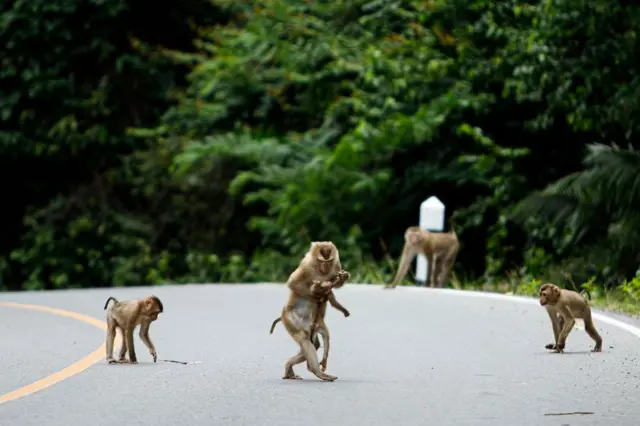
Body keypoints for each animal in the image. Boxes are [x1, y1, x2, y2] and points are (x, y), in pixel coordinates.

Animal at [278, 241, 348, 382]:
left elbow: (337, 281)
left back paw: (290, 366)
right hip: (289, 317)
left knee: (314, 344)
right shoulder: (306, 266)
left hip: (311, 325)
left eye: (329, 261)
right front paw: (319, 294)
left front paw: (343, 276)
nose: (325, 267)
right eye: (322, 261)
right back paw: (318, 372)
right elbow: (292, 283)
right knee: (304, 338)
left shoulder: (336, 264)